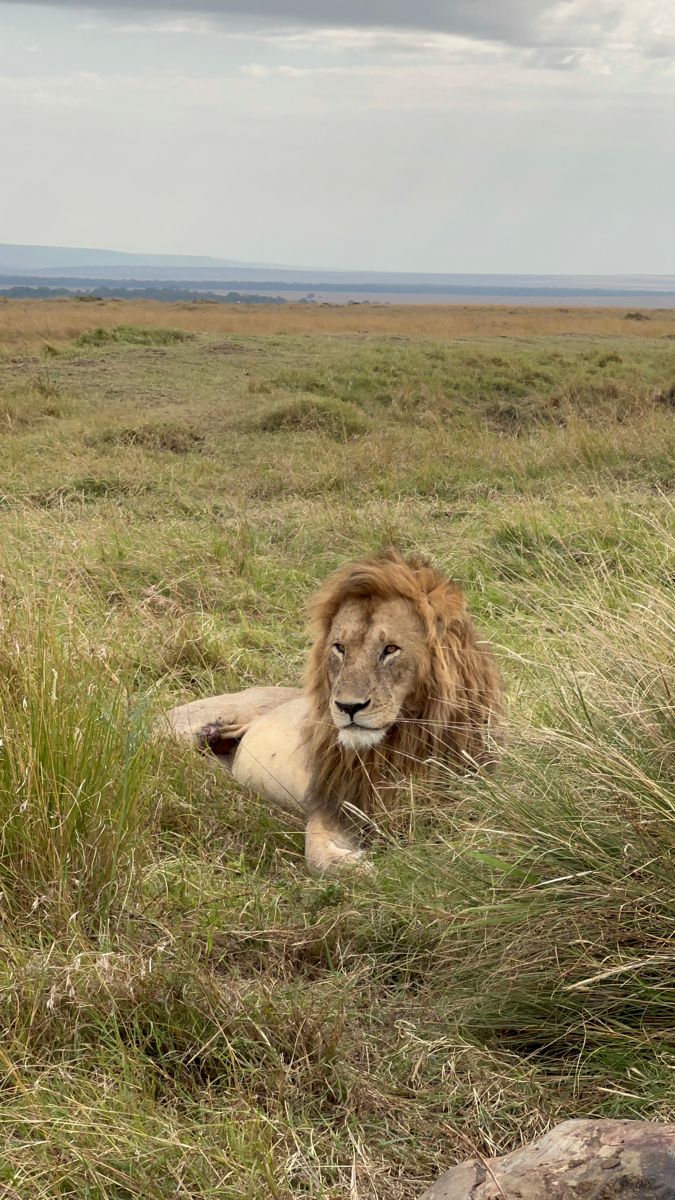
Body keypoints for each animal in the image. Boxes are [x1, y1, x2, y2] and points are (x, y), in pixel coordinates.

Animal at [165, 550, 504, 875]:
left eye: (390, 649)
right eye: (340, 647)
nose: (347, 706)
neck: (394, 747)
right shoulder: (333, 803)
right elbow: (317, 854)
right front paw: (360, 866)